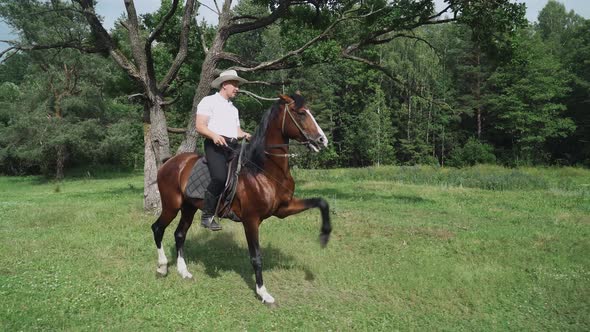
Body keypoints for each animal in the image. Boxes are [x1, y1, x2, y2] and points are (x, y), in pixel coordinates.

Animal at [151, 92, 332, 304]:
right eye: (301, 113)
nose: (322, 140)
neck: (261, 169)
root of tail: (169, 162)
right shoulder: (251, 220)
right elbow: (256, 257)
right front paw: (263, 293)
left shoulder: (284, 208)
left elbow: (322, 202)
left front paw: (324, 236)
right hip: (171, 205)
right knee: (157, 228)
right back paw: (162, 267)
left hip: (189, 207)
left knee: (179, 234)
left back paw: (184, 272)